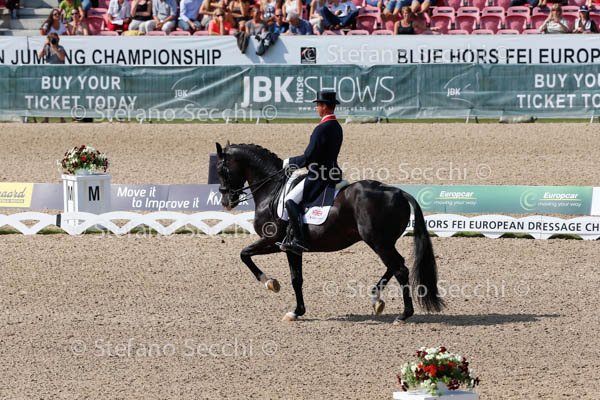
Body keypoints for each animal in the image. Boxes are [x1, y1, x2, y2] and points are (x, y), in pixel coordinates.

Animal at [215, 142, 444, 322]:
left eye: (222, 170)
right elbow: (295, 278)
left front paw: (271, 284)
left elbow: (246, 255)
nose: (226, 201)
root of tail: (398, 192)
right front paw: (296, 310)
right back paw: (376, 299)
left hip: (378, 242)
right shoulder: (286, 247)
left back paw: (403, 315)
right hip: (383, 242)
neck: (273, 189)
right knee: (396, 265)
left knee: (400, 269)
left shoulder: (274, 240)